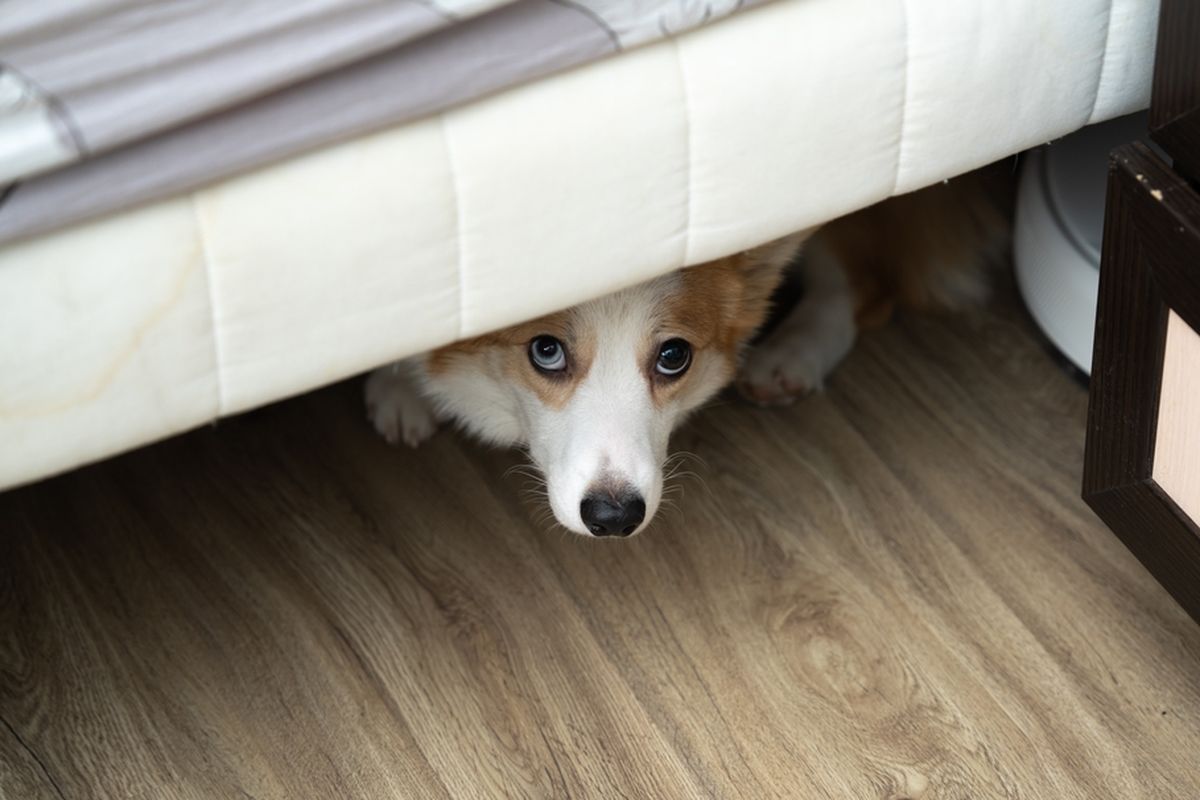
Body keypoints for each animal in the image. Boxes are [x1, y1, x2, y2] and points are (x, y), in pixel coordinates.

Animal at [367, 167, 1012, 537]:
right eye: (546, 351)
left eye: (673, 357)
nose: (614, 518)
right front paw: (397, 384)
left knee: (864, 285)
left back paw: (790, 355)